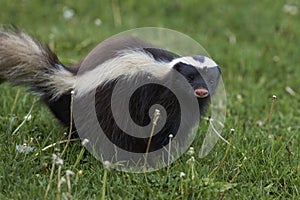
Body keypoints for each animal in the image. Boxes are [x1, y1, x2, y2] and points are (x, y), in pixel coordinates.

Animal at [0, 28, 220, 159]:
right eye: (189, 77)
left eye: (210, 80)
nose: (201, 90)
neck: (165, 71)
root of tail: (67, 77)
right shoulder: (156, 96)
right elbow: (161, 128)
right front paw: (160, 155)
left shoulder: (185, 107)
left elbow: (178, 126)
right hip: (104, 106)